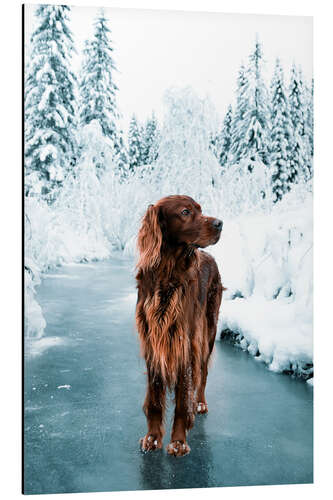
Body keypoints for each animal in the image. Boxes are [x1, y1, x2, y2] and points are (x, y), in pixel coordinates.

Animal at [135, 194, 223, 458]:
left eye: (200, 209)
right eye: (185, 212)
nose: (220, 224)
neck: (168, 272)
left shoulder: (184, 342)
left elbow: (183, 399)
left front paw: (178, 442)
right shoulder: (153, 342)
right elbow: (155, 398)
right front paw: (153, 438)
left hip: (208, 331)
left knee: (202, 373)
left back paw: (200, 402)